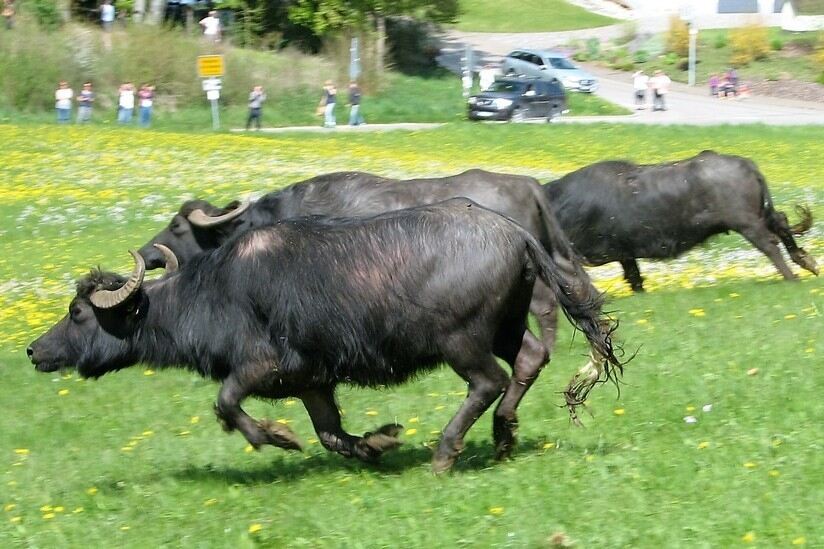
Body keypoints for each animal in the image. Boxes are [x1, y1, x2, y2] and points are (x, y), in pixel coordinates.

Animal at [25, 199, 620, 474]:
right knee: (530, 358)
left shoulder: (265, 368)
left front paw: (277, 436)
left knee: (488, 381)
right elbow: (332, 434)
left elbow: (227, 403)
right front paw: (379, 441)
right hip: (507, 326)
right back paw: (503, 436)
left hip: (463, 341)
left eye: (77, 312)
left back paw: (446, 452)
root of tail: (515, 231)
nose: (33, 349)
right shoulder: (314, 382)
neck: (213, 293)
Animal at [548, 150, 816, 292]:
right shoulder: (625, 254)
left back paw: (792, 277)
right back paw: (807, 262)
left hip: (747, 223)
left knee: (770, 243)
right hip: (759, 215)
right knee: (781, 223)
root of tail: (746, 164)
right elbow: (635, 278)